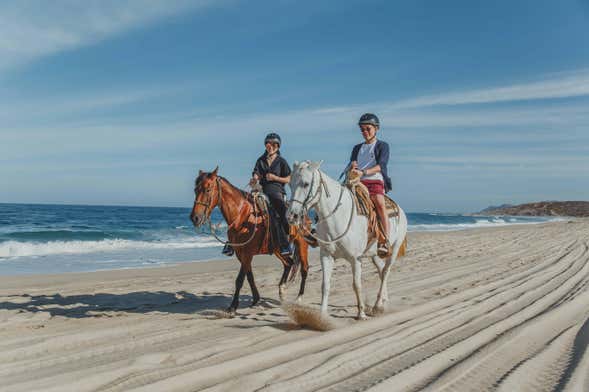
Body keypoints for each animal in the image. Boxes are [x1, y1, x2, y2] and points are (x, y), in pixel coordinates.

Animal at [189, 167, 310, 314]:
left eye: (207, 189)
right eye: (195, 190)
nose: (195, 218)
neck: (242, 215)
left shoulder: (247, 254)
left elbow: (240, 279)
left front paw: (233, 306)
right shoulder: (241, 254)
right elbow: (249, 276)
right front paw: (256, 299)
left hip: (302, 244)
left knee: (304, 269)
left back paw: (299, 297)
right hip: (278, 249)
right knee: (289, 263)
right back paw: (282, 290)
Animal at [288, 161, 406, 320]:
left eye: (306, 184)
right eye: (290, 184)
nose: (292, 216)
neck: (338, 216)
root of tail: (400, 210)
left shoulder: (355, 259)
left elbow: (356, 284)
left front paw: (361, 313)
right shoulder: (326, 255)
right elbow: (325, 284)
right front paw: (322, 317)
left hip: (394, 248)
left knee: (386, 271)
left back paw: (376, 305)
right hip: (374, 254)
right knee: (381, 270)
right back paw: (382, 303)